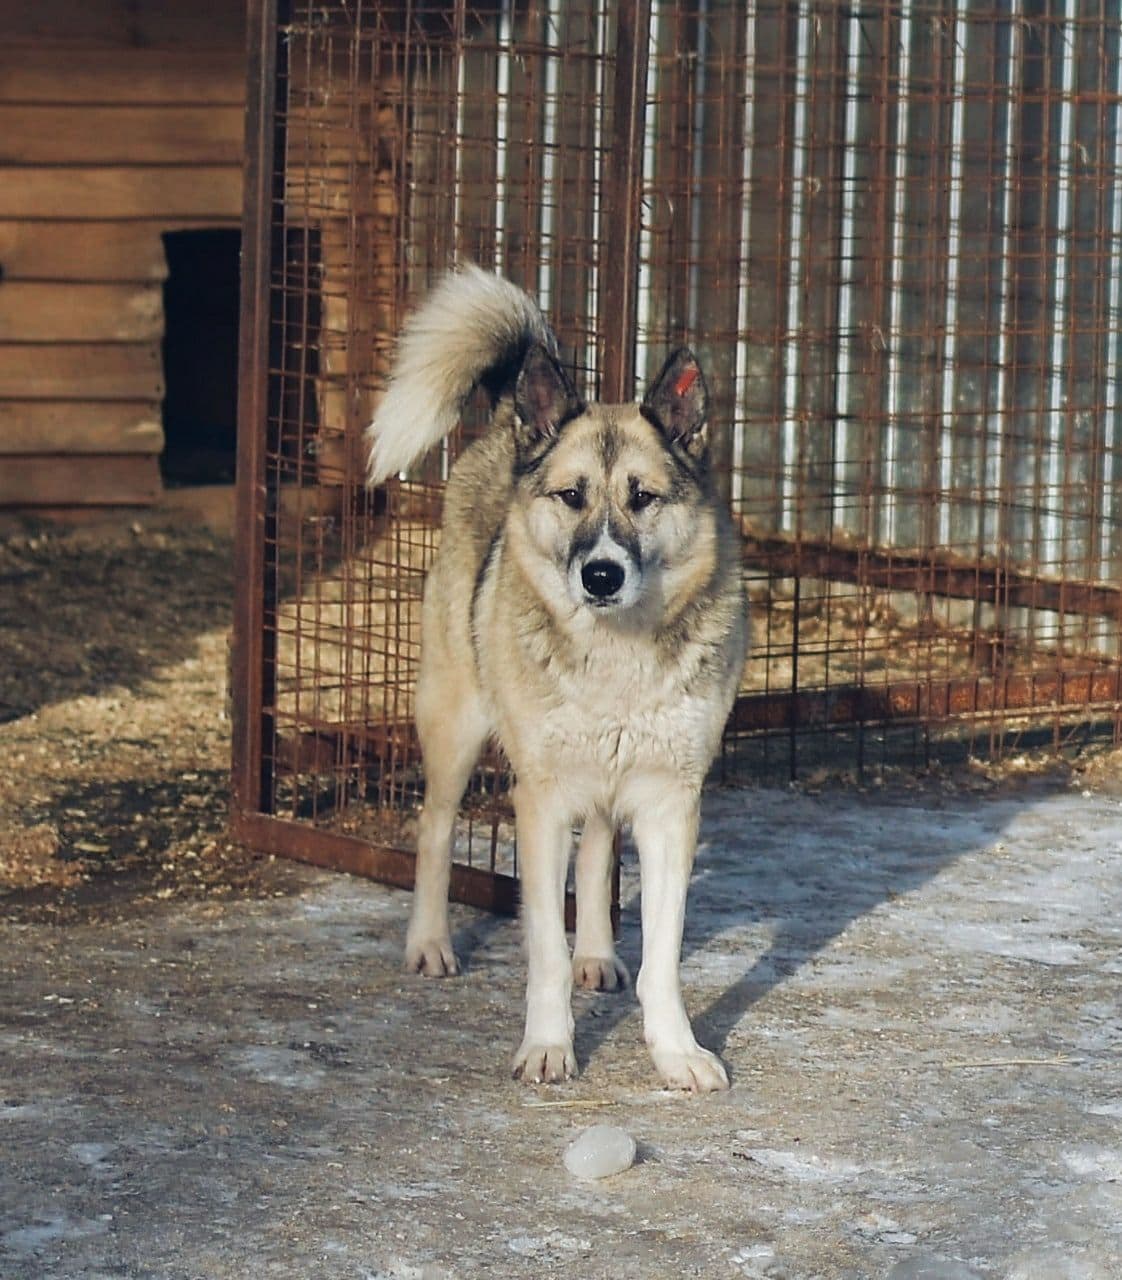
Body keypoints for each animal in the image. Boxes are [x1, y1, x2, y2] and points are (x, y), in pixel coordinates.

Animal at [368, 262, 747, 1090]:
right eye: (572, 495)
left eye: (644, 496)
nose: (601, 574)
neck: (618, 656)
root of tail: (509, 427)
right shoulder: (537, 801)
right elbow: (541, 945)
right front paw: (547, 1047)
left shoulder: (670, 803)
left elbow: (662, 957)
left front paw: (676, 1051)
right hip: (455, 727)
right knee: (434, 829)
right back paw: (430, 943)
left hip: (601, 780)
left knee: (600, 847)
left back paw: (597, 954)